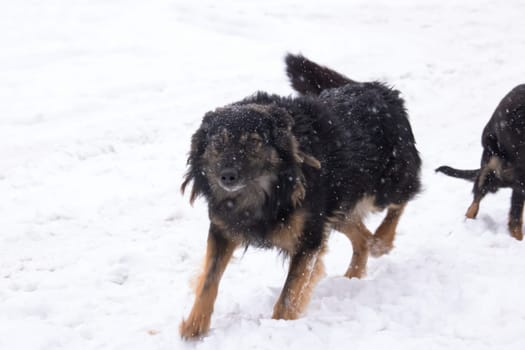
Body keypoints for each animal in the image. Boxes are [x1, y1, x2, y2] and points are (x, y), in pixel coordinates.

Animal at [178, 54, 420, 340]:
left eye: (254, 142)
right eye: (218, 143)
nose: (227, 176)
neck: (262, 193)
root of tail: (378, 89)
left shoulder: (308, 239)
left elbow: (289, 295)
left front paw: (280, 328)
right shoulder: (222, 229)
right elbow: (209, 280)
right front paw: (194, 327)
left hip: (382, 186)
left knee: (401, 200)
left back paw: (382, 240)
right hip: (336, 210)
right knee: (361, 238)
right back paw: (355, 273)